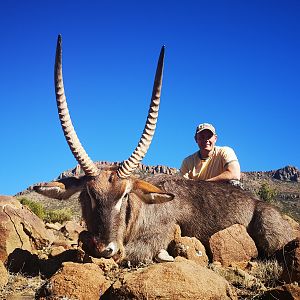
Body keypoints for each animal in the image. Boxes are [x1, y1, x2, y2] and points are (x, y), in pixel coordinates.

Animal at [34, 35, 292, 264]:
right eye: (88, 194)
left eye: (125, 195)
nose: (106, 248)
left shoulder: (157, 236)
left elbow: (134, 254)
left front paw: (164, 255)